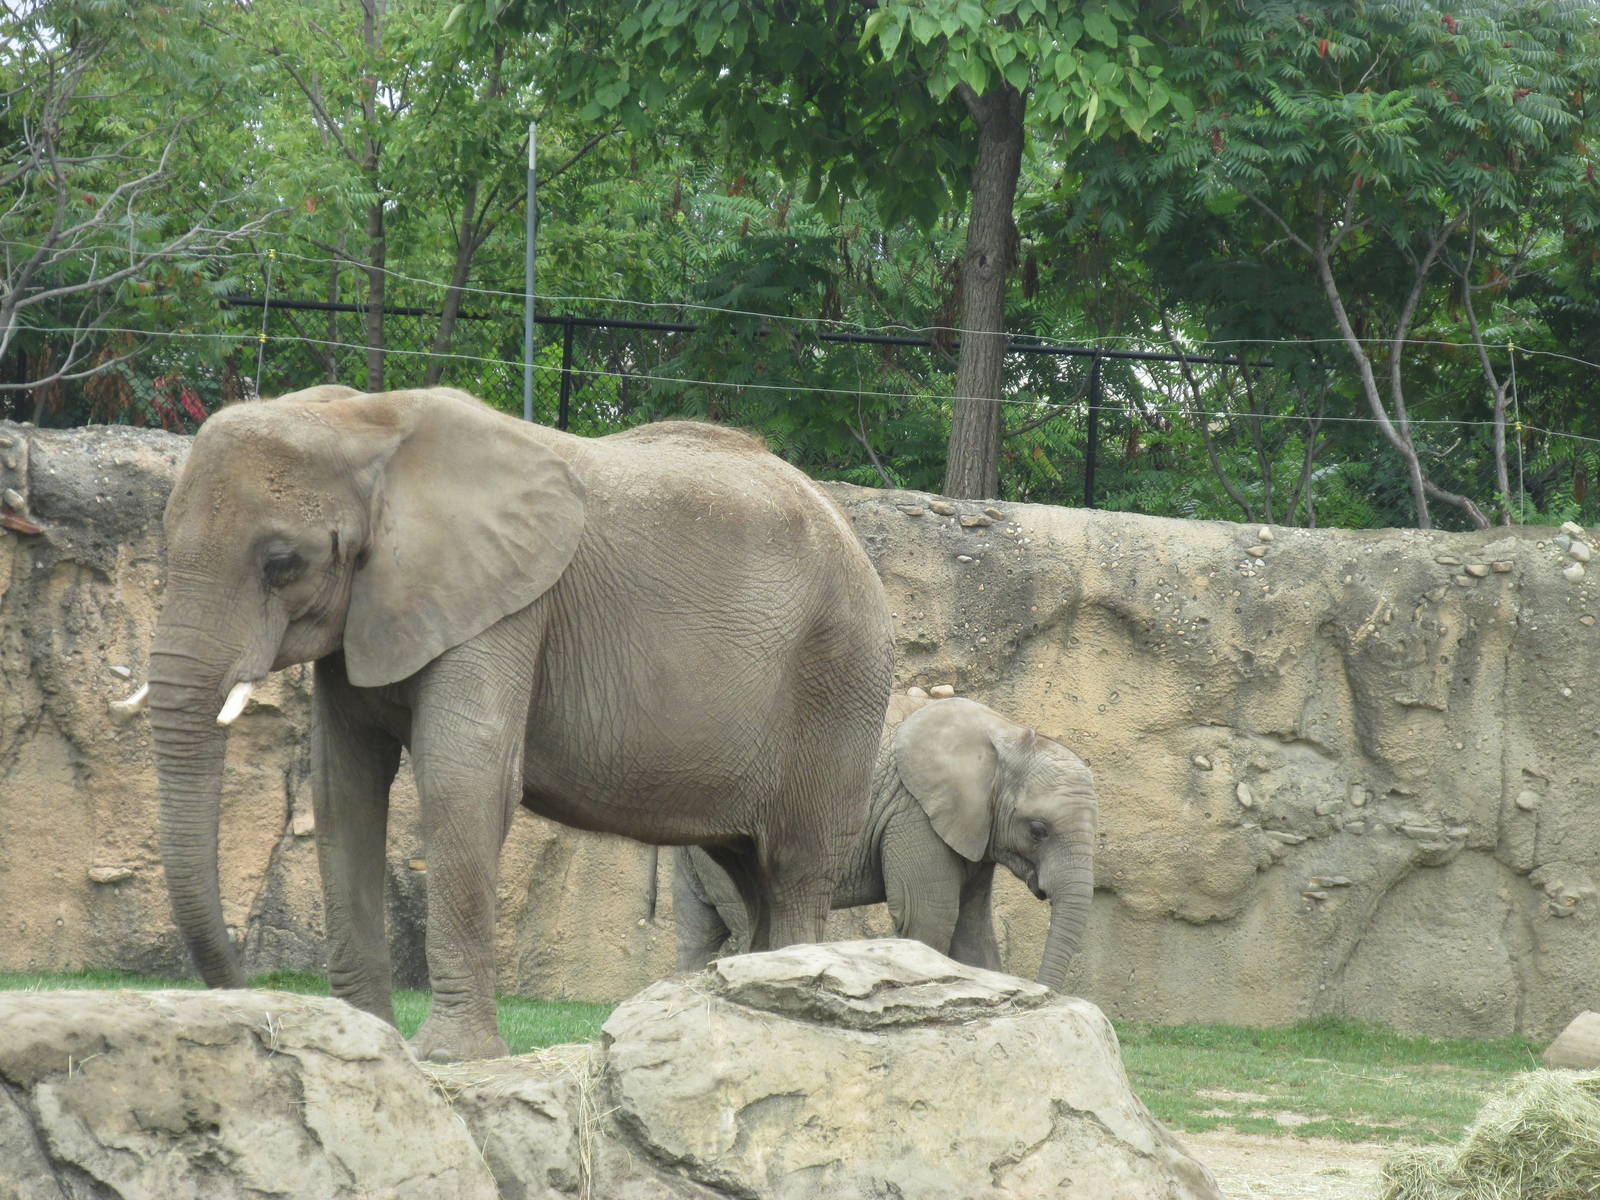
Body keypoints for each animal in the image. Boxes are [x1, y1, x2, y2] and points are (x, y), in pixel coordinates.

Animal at [144, 385, 894, 1061]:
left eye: (281, 563)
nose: (245, 996)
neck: (362, 421)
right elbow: (344, 789)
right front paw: (366, 1037)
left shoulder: (505, 606)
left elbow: (463, 781)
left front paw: (446, 1057)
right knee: (747, 867)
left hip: (839, 679)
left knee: (795, 866)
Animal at [674, 693, 1097, 990]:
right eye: (1038, 830)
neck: (1005, 733)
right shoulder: (913, 813)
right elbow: (930, 914)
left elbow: (973, 931)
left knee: (698, 932)